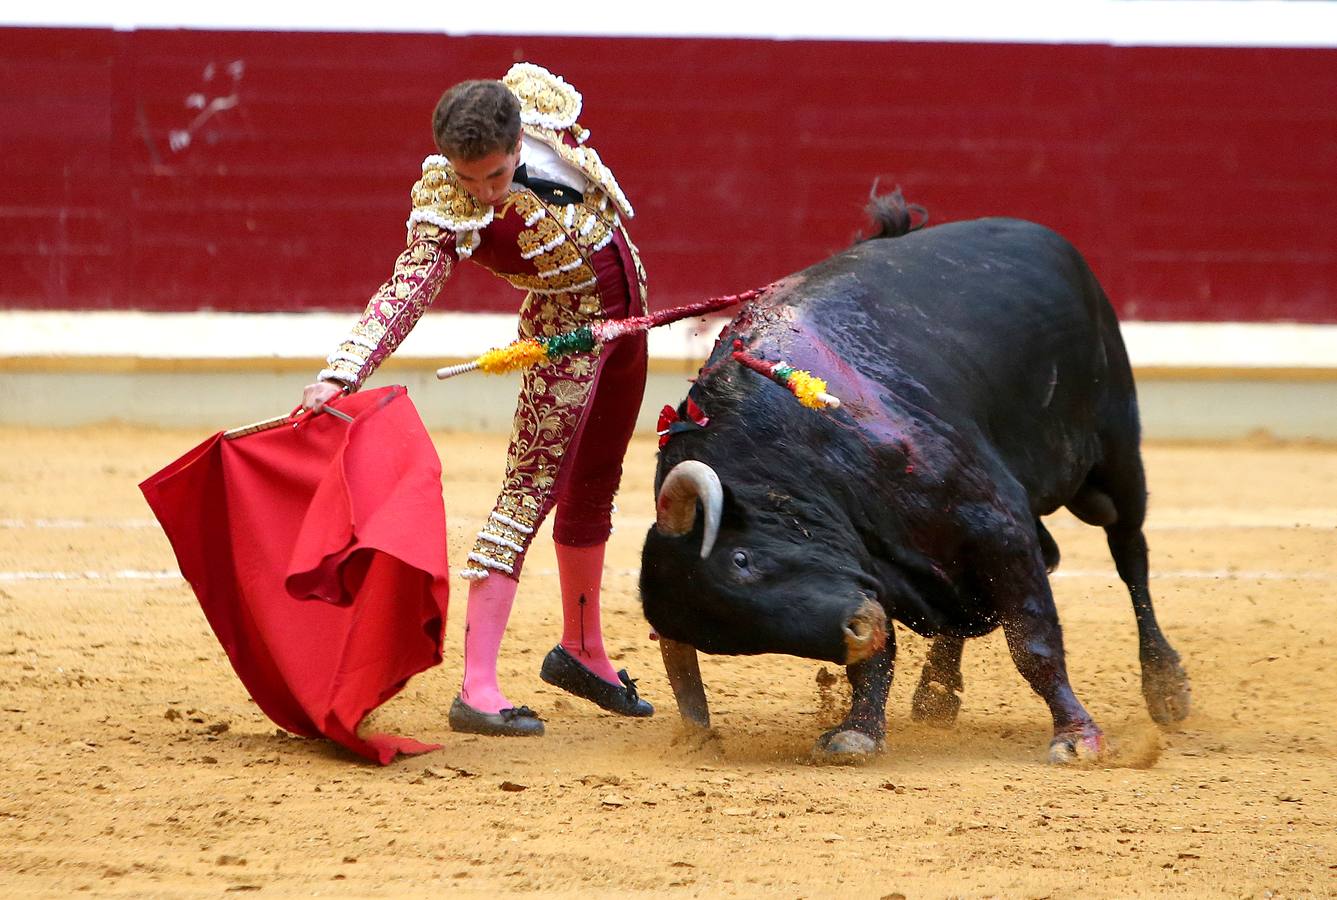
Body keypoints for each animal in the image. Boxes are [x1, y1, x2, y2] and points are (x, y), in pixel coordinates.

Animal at [636, 212, 1192, 764]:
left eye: (740, 559)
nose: (858, 629)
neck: (795, 446)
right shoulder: (873, 573)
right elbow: (877, 662)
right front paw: (858, 731)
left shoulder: (1001, 527)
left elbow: (1032, 640)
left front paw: (1077, 737)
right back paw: (937, 694)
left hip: (1114, 455)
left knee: (1129, 551)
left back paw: (1165, 687)